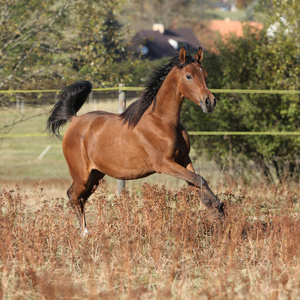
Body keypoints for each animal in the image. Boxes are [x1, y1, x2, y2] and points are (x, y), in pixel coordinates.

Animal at [47, 46, 224, 234]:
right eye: (188, 76)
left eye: (205, 74)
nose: (209, 101)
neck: (163, 120)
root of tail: (74, 120)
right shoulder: (164, 164)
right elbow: (199, 179)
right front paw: (219, 207)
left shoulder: (183, 159)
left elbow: (198, 183)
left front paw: (218, 214)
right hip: (82, 175)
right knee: (73, 196)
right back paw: (85, 233)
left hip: (95, 175)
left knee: (80, 198)